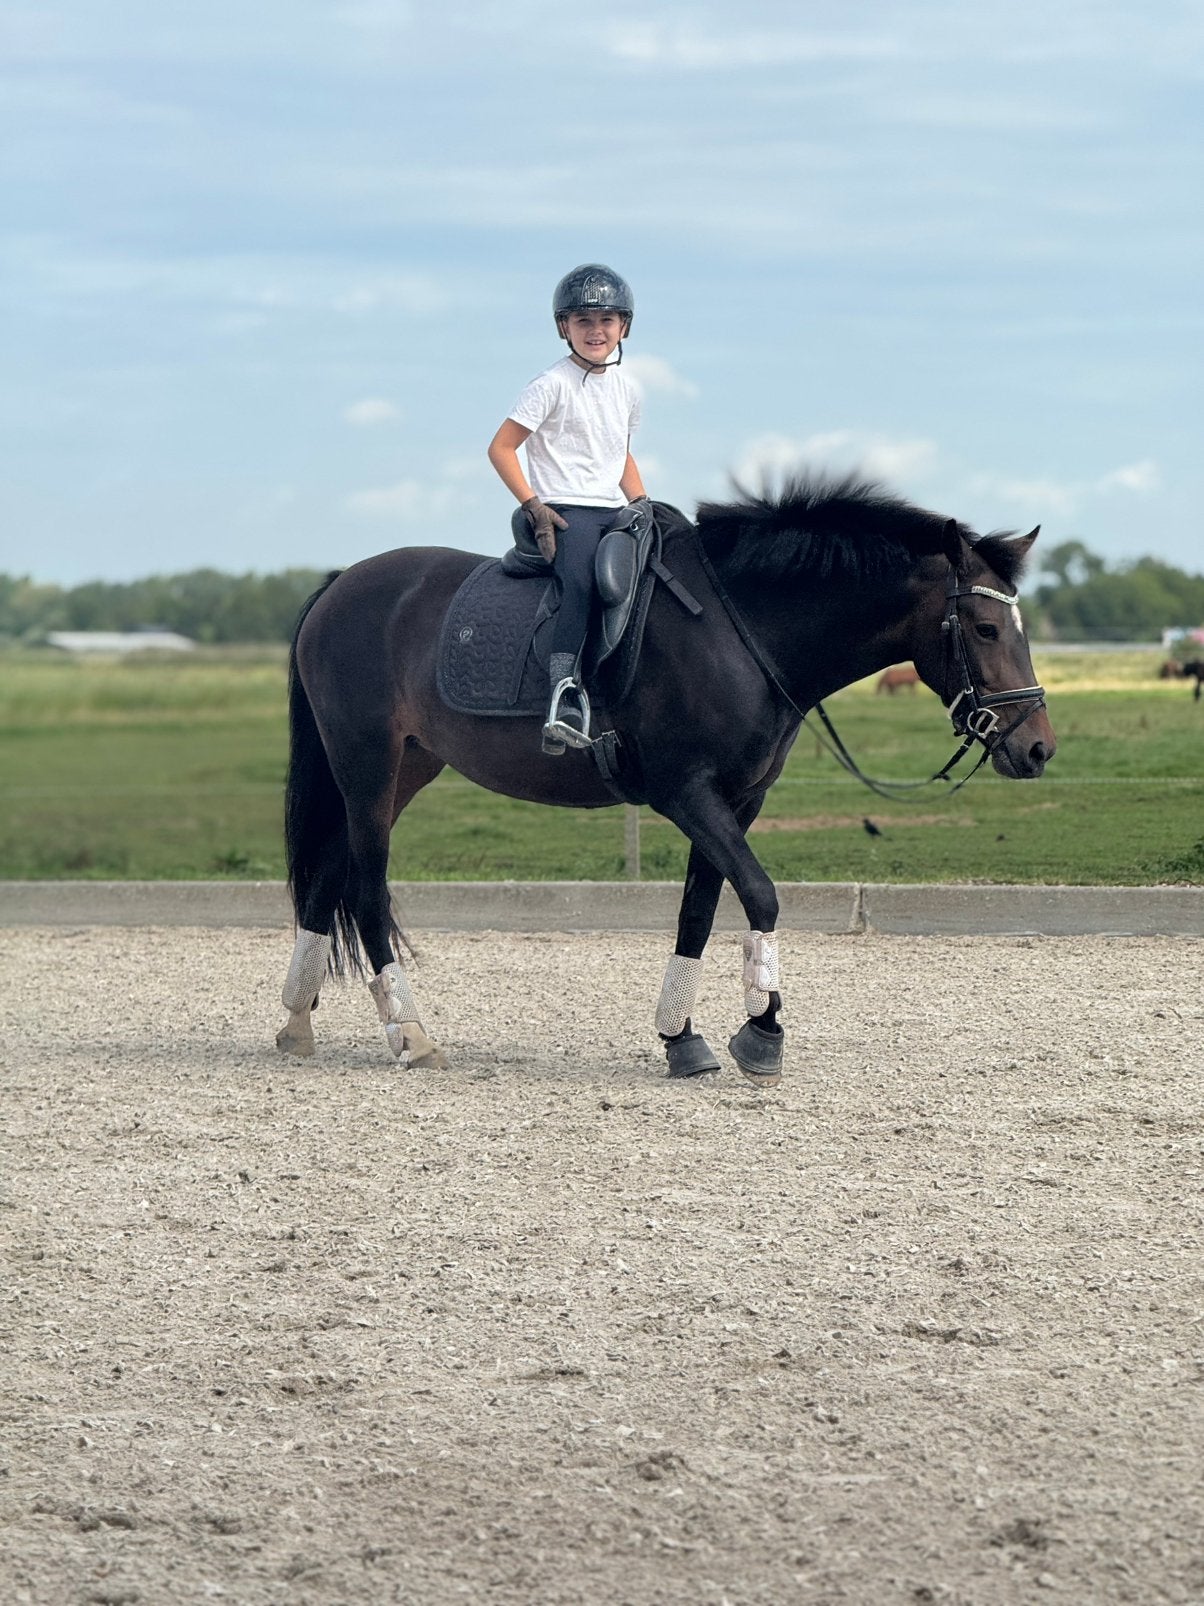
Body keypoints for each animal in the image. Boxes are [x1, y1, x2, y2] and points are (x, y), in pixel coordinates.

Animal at [276, 473, 1055, 1085]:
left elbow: (699, 911)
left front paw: (682, 1038)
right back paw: (410, 1036)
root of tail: (340, 585)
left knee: (328, 877)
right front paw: (763, 1033)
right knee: (366, 891)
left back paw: (296, 1024)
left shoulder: (736, 800)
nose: (1038, 748)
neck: (742, 628)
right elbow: (761, 895)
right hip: (368, 767)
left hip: (402, 769)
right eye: (986, 628)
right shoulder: (687, 793)